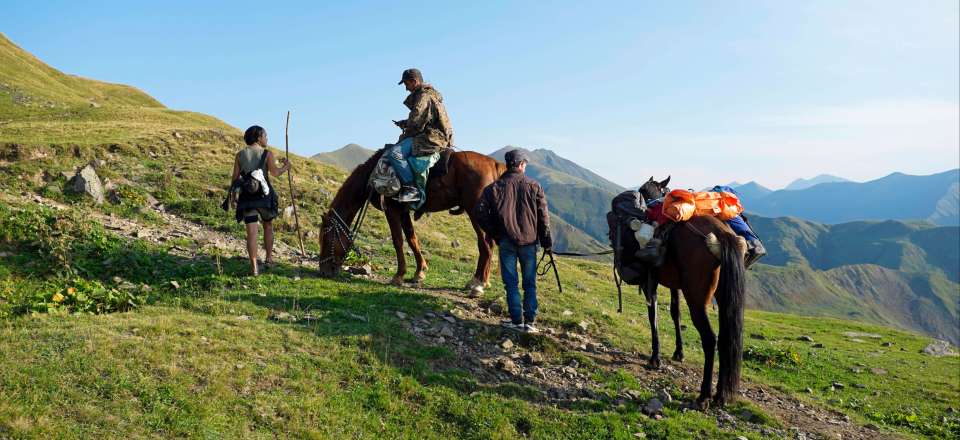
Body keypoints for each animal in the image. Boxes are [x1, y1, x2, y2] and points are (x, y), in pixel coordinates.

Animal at [318, 149, 506, 292]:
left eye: (326, 239)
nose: (324, 271)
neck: (371, 175)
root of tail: (494, 164)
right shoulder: (403, 211)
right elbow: (412, 239)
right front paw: (419, 272)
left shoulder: (392, 210)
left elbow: (398, 241)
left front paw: (398, 276)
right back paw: (484, 281)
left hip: (475, 212)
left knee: (485, 245)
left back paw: (477, 283)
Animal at [636, 177, 752, 410]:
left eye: (642, 190)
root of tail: (722, 234)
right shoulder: (675, 286)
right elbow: (675, 313)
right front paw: (678, 353)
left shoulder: (652, 282)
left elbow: (654, 315)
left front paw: (655, 358)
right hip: (723, 299)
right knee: (725, 339)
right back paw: (720, 395)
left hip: (697, 300)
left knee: (709, 339)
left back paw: (704, 396)